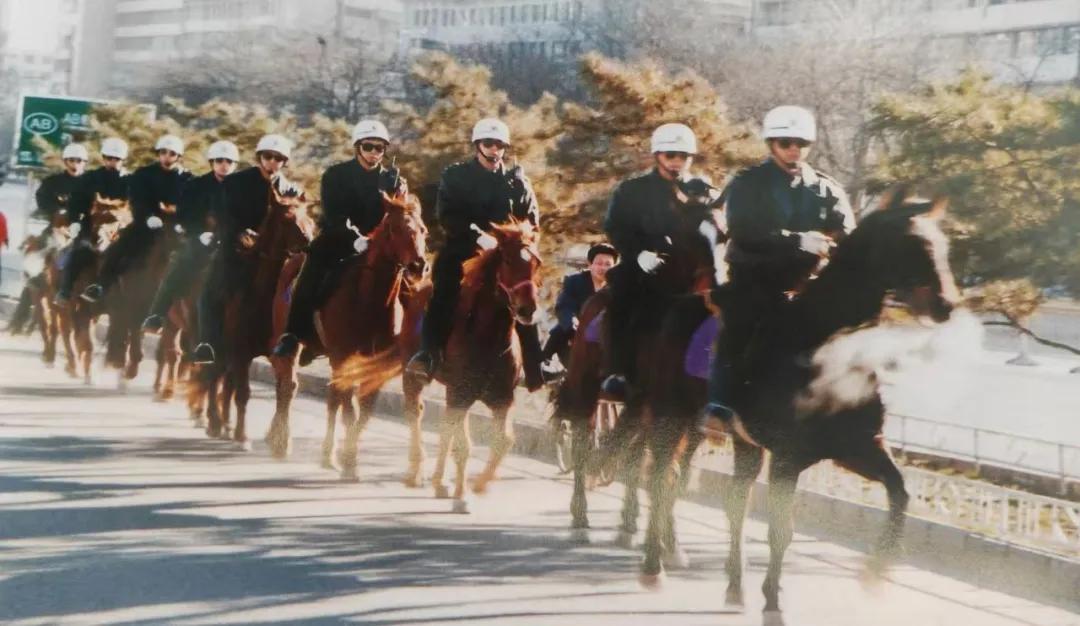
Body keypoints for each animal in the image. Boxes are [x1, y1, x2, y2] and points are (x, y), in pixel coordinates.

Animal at [203, 187, 314, 447]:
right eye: (287, 219)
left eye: (308, 215)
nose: (309, 240)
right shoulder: (241, 351)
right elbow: (243, 392)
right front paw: (242, 436)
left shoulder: (286, 353)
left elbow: (288, 387)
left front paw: (282, 440)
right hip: (218, 344)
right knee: (215, 375)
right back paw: (215, 422)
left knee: (227, 380)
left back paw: (226, 424)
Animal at [265, 192, 428, 481]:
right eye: (394, 228)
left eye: (423, 229)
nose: (418, 266)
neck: (369, 299)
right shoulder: (344, 355)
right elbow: (350, 405)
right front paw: (350, 463)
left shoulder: (372, 363)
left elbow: (365, 406)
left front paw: (346, 455)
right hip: (293, 344)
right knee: (288, 386)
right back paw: (281, 441)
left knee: (332, 396)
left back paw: (326, 454)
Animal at [636, 192, 960, 620]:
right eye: (915, 244)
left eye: (943, 244)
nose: (947, 304)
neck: (828, 344)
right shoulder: (788, 457)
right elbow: (780, 529)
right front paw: (773, 601)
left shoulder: (856, 447)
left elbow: (900, 492)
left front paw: (876, 572)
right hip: (672, 416)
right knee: (661, 479)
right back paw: (654, 566)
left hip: (741, 441)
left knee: (733, 501)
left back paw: (733, 586)